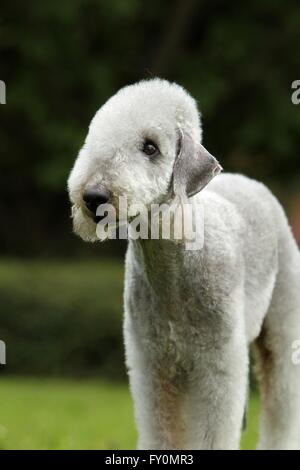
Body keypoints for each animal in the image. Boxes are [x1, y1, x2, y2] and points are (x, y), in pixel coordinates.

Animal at [68, 79, 300, 450]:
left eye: (150, 147)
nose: (93, 198)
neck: (175, 264)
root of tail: (252, 183)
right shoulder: (153, 365)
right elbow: (161, 431)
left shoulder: (218, 364)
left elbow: (216, 432)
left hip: (282, 329)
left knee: (282, 408)